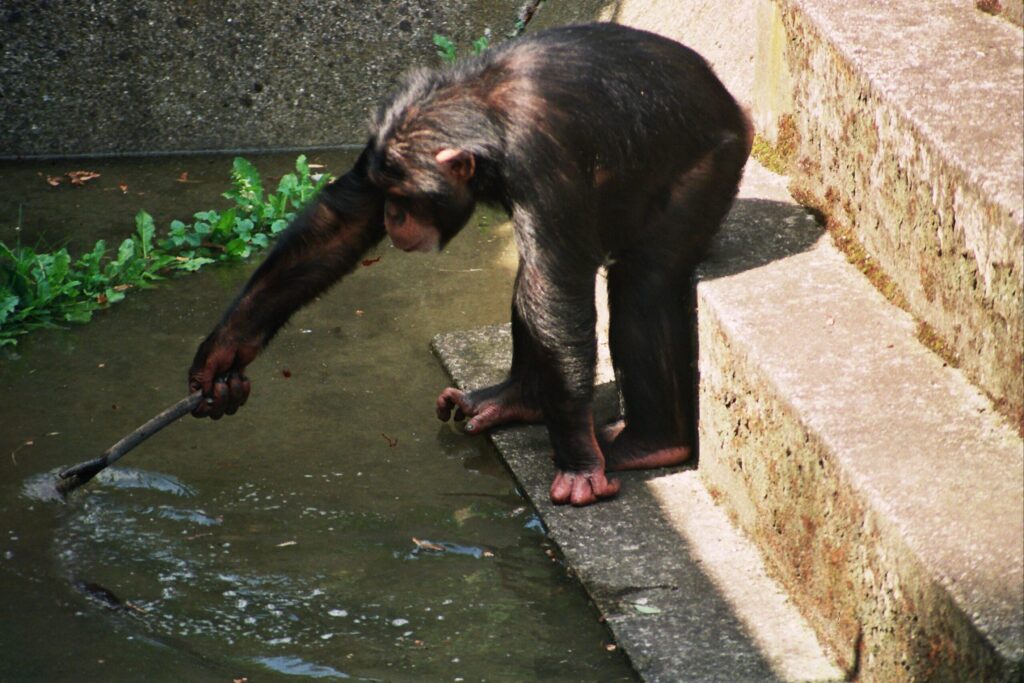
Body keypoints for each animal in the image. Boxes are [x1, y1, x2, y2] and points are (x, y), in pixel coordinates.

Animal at [190, 22, 753, 507]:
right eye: (387, 195)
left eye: (405, 199)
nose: (392, 215)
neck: (482, 115)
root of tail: (728, 99)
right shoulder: (380, 142)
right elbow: (340, 226)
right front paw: (225, 353)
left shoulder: (543, 158)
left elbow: (559, 290)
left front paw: (577, 461)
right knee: (533, 282)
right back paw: (514, 399)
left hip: (713, 164)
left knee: (639, 281)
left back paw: (649, 442)